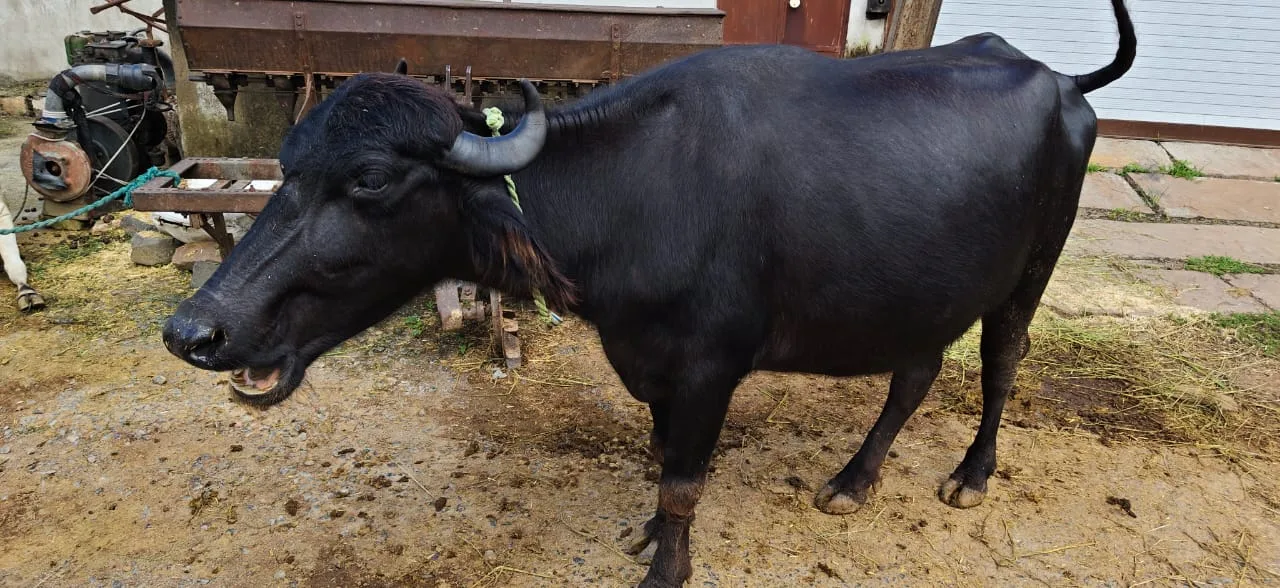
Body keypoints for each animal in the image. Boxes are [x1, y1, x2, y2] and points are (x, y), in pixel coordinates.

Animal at [163, 2, 1136, 584]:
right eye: (287, 165)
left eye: (368, 179)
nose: (194, 331)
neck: (635, 195)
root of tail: (1059, 82)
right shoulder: (653, 367)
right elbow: (663, 463)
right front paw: (646, 537)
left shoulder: (711, 370)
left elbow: (683, 483)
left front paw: (667, 567)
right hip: (921, 291)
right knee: (914, 375)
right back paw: (853, 481)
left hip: (1029, 275)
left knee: (1001, 365)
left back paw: (970, 476)